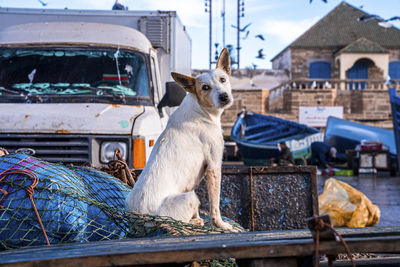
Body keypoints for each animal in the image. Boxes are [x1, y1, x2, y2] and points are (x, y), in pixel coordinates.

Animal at [126, 48, 234, 230]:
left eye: (223, 79)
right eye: (205, 87)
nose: (224, 96)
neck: (201, 111)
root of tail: (139, 218)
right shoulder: (213, 166)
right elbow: (215, 205)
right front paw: (221, 224)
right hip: (190, 196)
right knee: (179, 222)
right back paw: (195, 222)